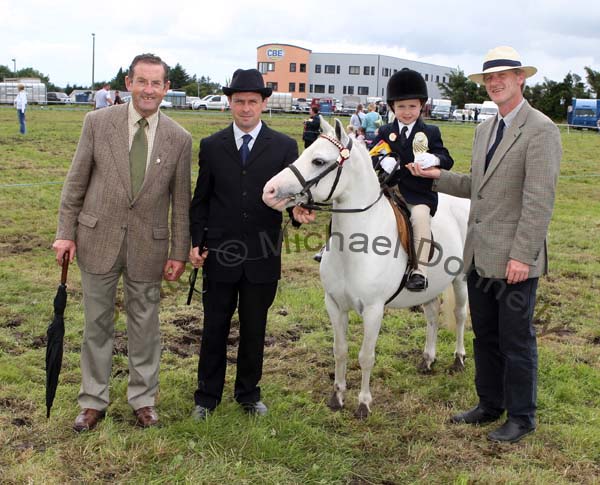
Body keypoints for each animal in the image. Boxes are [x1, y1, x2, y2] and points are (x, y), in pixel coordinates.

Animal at [264, 118, 472, 416]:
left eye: (318, 160)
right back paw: (428, 359)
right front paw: (337, 396)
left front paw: (363, 403)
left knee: (459, 315)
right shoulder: (334, 305)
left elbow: (366, 356)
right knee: (432, 315)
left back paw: (458, 359)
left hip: (461, 279)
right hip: (430, 288)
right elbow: (340, 350)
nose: (269, 191)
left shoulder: (374, 310)